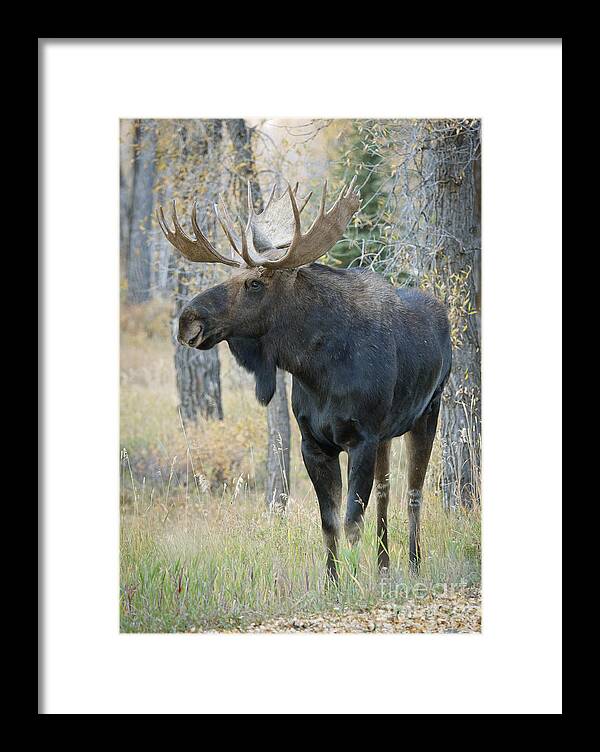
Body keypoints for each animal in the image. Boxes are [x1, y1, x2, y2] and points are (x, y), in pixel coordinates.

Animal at [157, 178, 452, 580]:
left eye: (254, 283)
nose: (188, 320)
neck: (318, 369)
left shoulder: (361, 438)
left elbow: (351, 522)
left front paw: (356, 584)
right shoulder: (314, 443)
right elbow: (329, 523)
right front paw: (332, 582)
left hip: (427, 412)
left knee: (413, 493)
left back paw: (414, 566)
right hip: (387, 434)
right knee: (385, 492)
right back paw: (384, 567)